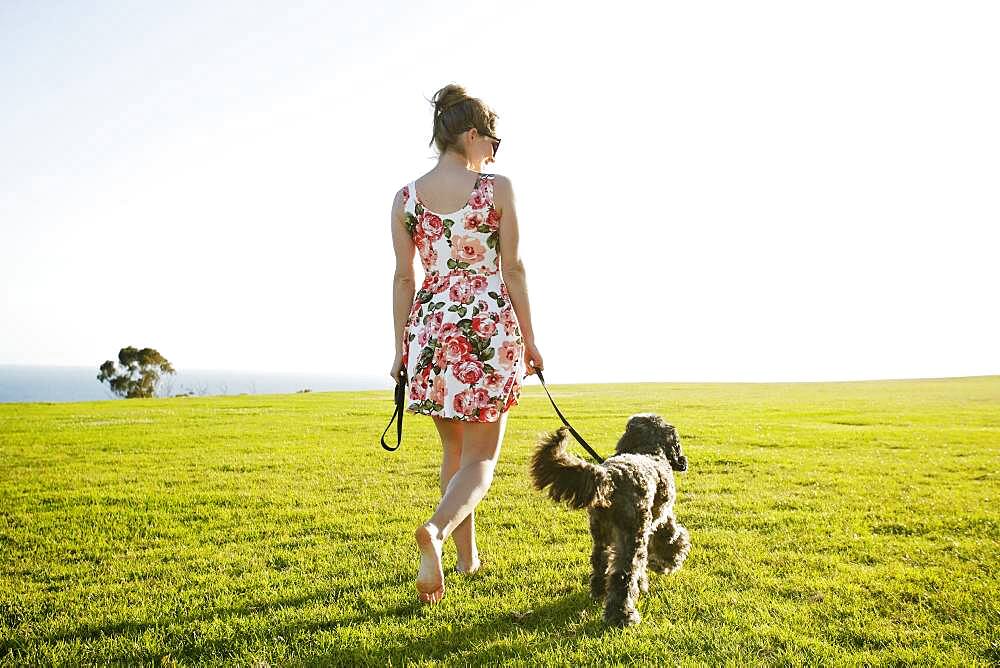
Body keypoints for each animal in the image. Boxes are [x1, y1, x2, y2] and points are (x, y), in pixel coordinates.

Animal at [532, 412, 688, 628]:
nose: (682, 461)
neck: (647, 450)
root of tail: (611, 476)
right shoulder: (663, 517)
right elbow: (672, 539)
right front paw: (668, 562)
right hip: (632, 535)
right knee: (623, 574)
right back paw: (622, 615)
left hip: (601, 532)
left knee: (600, 561)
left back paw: (600, 591)